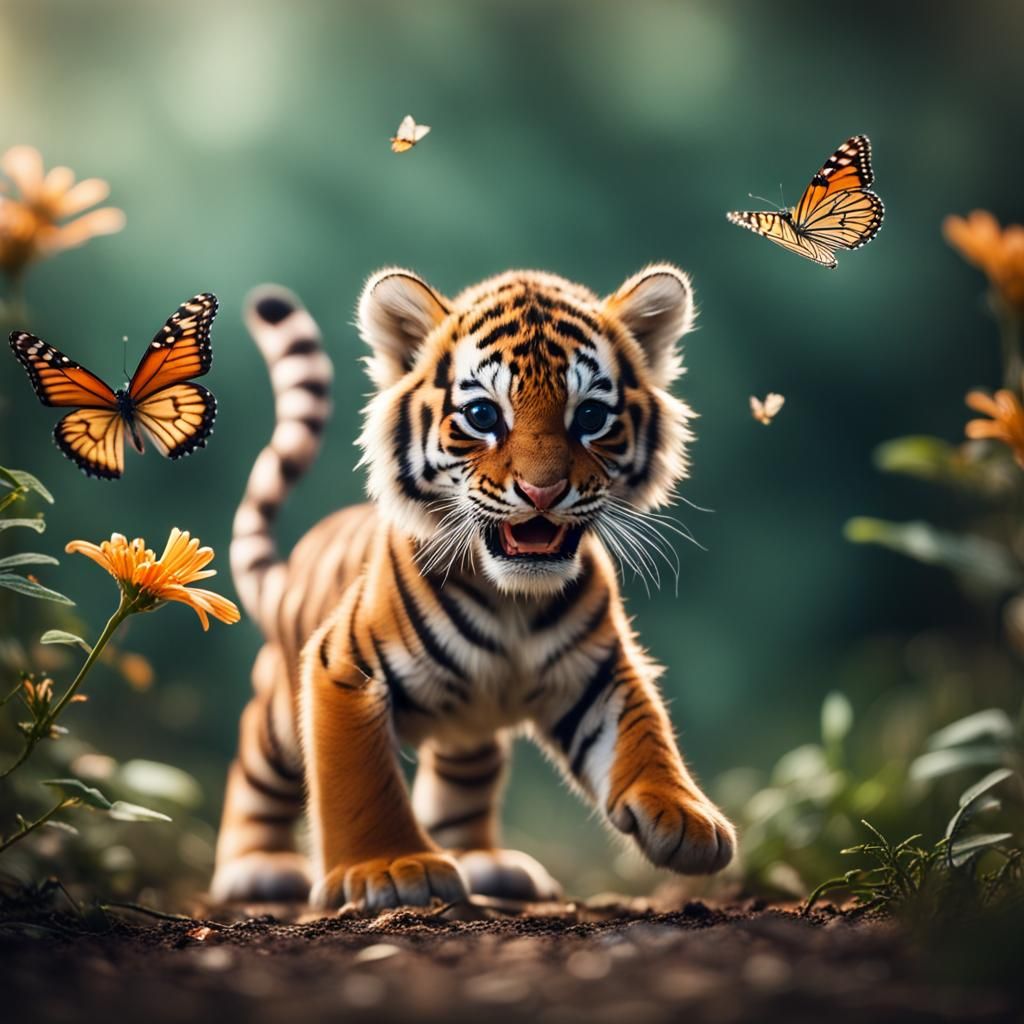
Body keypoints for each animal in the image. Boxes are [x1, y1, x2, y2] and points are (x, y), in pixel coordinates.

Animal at [210, 265, 737, 910]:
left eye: (590, 418)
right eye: (484, 416)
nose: (542, 491)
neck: (512, 601)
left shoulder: (599, 667)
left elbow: (642, 731)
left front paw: (684, 816)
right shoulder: (345, 666)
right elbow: (358, 779)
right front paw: (390, 866)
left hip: (471, 737)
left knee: (460, 791)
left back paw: (486, 863)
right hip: (278, 717)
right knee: (254, 771)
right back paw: (257, 867)